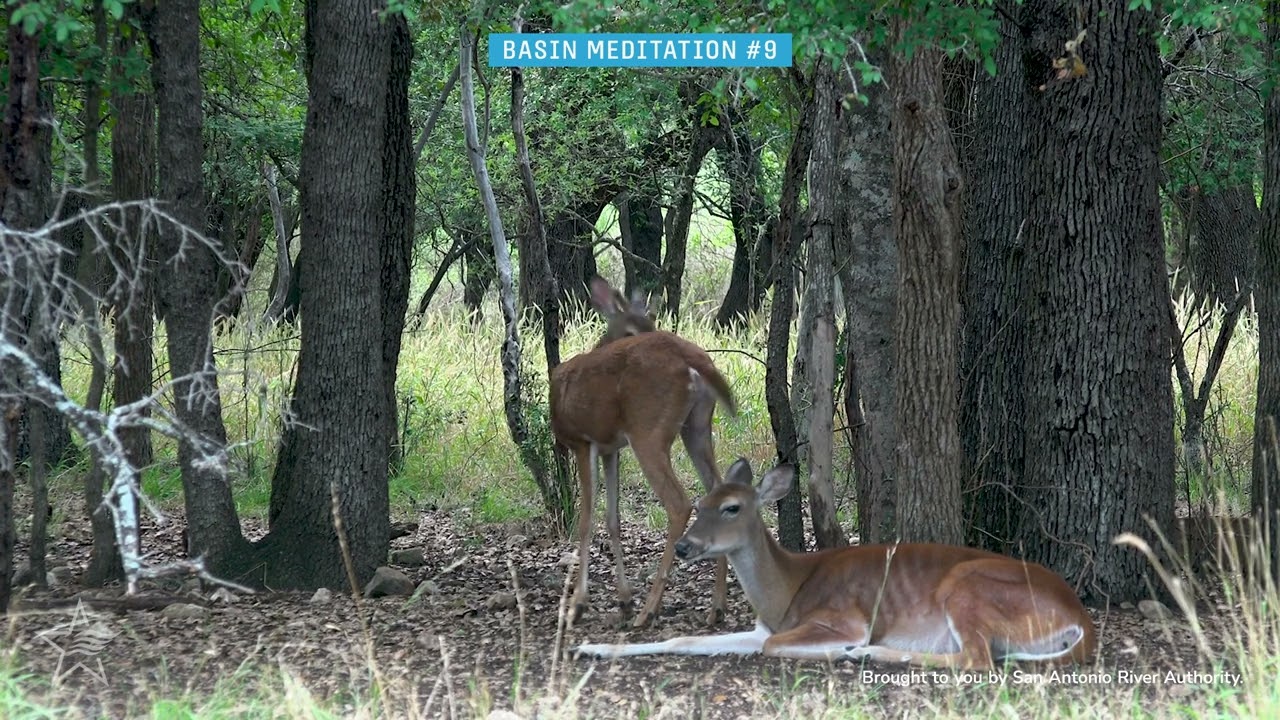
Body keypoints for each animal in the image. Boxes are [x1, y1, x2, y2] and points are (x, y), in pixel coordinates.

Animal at [551, 277, 737, 629]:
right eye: (633, 329)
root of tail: (693, 360)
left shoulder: (583, 442)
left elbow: (586, 520)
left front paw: (578, 605)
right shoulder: (610, 449)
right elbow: (612, 519)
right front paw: (623, 600)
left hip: (648, 431)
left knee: (679, 503)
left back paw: (649, 610)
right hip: (696, 426)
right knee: (718, 489)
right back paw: (716, 607)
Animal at [576, 458, 1097, 668]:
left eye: (732, 508)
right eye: (700, 503)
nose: (685, 547)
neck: (786, 590)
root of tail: (1080, 616)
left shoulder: (842, 617)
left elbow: (776, 647)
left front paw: (842, 649)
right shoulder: (762, 627)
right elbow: (683, 639)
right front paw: (591, 648)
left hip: (967, 588)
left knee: (977, 659)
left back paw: (867, 653)